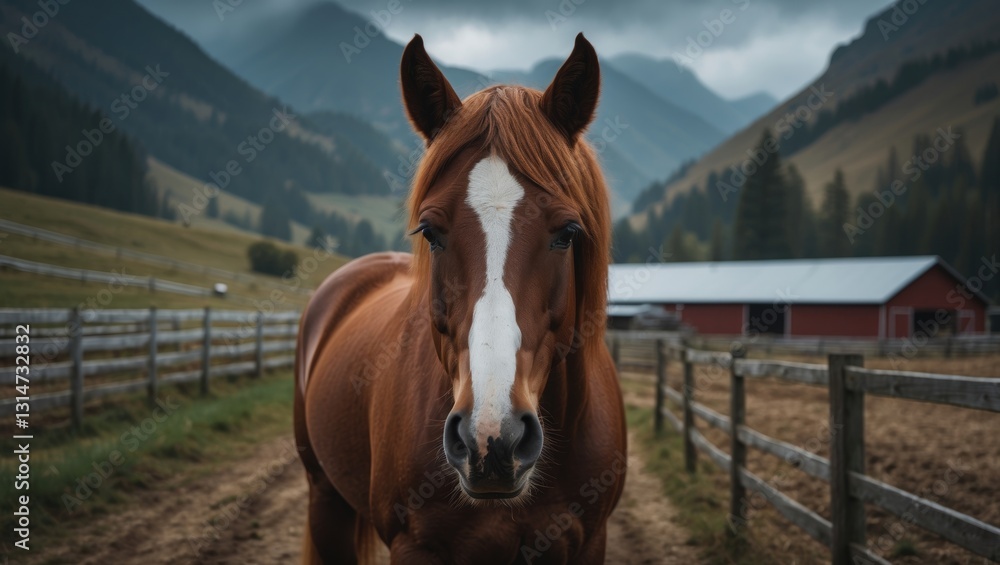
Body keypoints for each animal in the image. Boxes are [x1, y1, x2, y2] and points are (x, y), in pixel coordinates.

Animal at [294, 32, 626, 564]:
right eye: (431, 232)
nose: (491, 440)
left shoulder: (589, 542)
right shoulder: (415, 546)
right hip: (325, 499)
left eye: (567, 233)